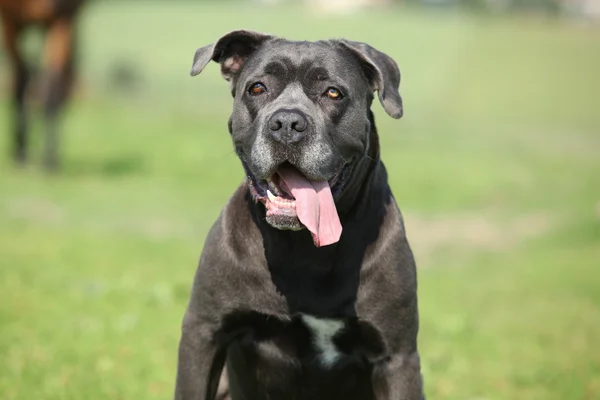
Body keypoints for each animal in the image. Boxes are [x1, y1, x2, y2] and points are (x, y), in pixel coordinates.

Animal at [0, 0, 85, 170]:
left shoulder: (62, 19)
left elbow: (51, 90)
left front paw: (49, 161)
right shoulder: (11, 21)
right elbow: (22, 78)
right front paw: (20, 154)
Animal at [176, 29, 424, 398]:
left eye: (333, 92)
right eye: (257, 88)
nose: (287, 123)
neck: (304, 250)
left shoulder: (396, 357)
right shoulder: (204, 332)